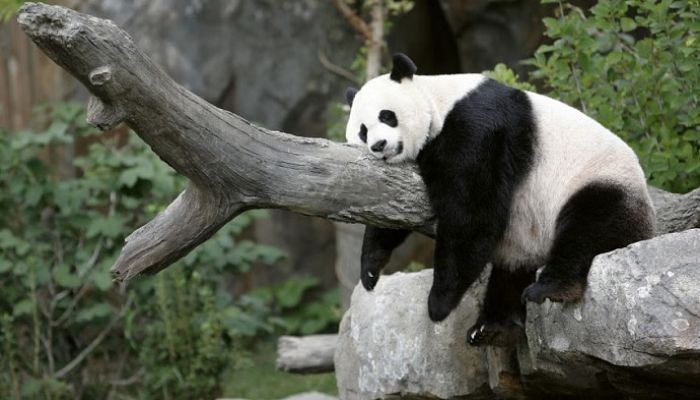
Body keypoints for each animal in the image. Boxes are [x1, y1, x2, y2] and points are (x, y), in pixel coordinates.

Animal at [345, 53, 655, 347]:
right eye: (362, 130)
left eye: (387, 116)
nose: (379, 146)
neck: (438, 101)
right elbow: (392, 207)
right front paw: (370, 270)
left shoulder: (477, 129)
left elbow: (471, 212)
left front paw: (438, 304)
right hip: (525, 240)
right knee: (512, 271)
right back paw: (492, 327)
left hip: (600, 182)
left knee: (588, 228)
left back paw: (550, 288)